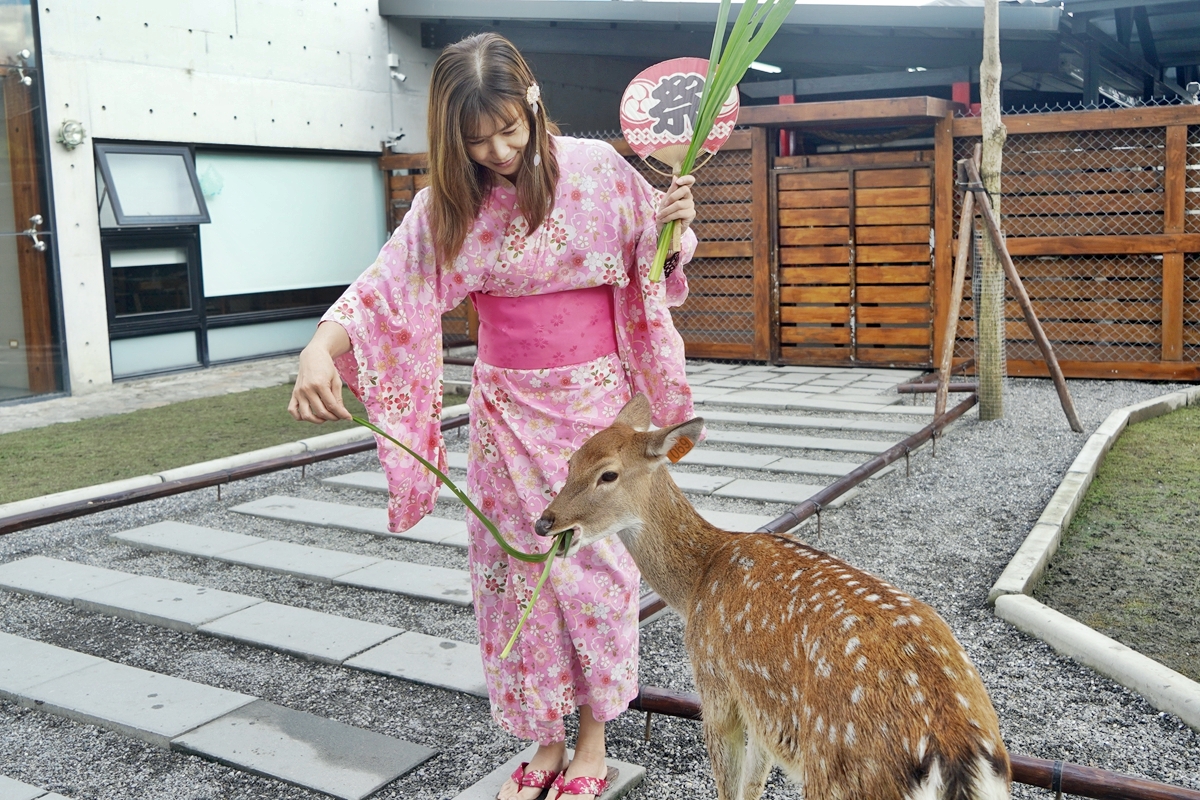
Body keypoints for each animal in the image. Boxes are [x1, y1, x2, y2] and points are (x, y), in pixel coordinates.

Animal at [535, 398, 1012, 800]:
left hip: (837, 773)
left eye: (608, 474)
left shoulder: (716, 685)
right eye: (570, 460)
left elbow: (728, 788)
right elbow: (754, 784)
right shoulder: (762, 709)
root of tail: (955, 755)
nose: (544, 522)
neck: (697, 582)